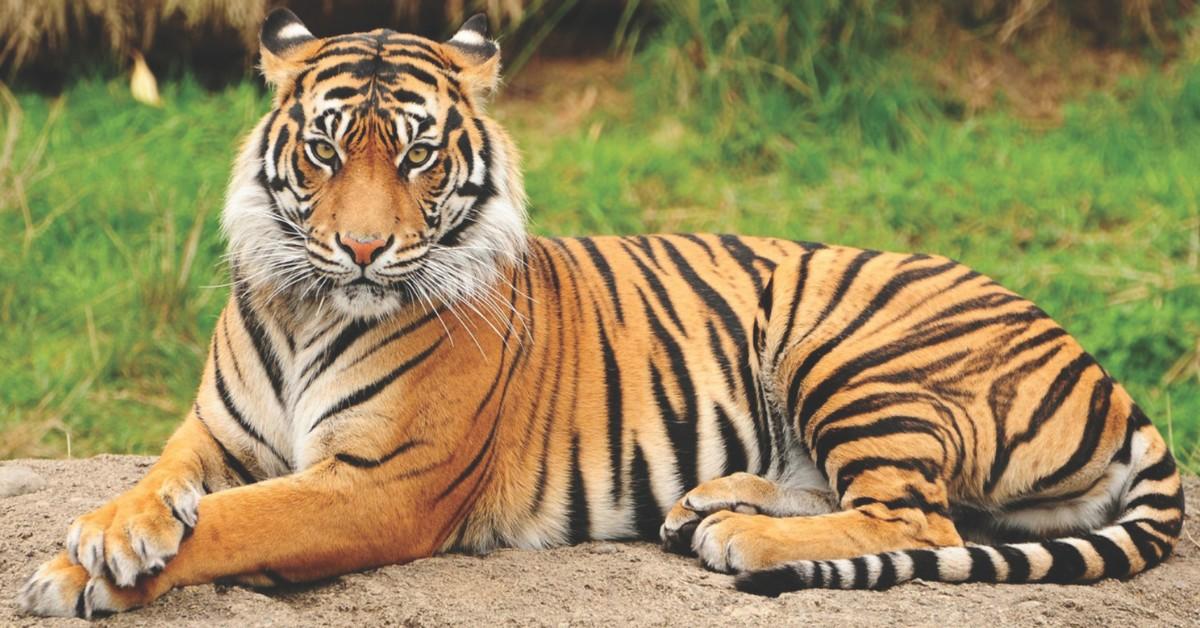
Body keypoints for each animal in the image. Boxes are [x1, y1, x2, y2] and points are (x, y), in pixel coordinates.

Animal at [16, 9, 1180, 619]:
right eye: (323, 151)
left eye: (420, 156)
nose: (363, 249)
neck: (309, 308)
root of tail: (1106, 374)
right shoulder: (214, 434)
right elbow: (161, 484)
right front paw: (109, 533)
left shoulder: (380, 484)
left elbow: (243, 519)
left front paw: (81, 572)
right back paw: (711, 503)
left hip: (852, 346)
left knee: (920, 517)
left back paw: (742, 538)